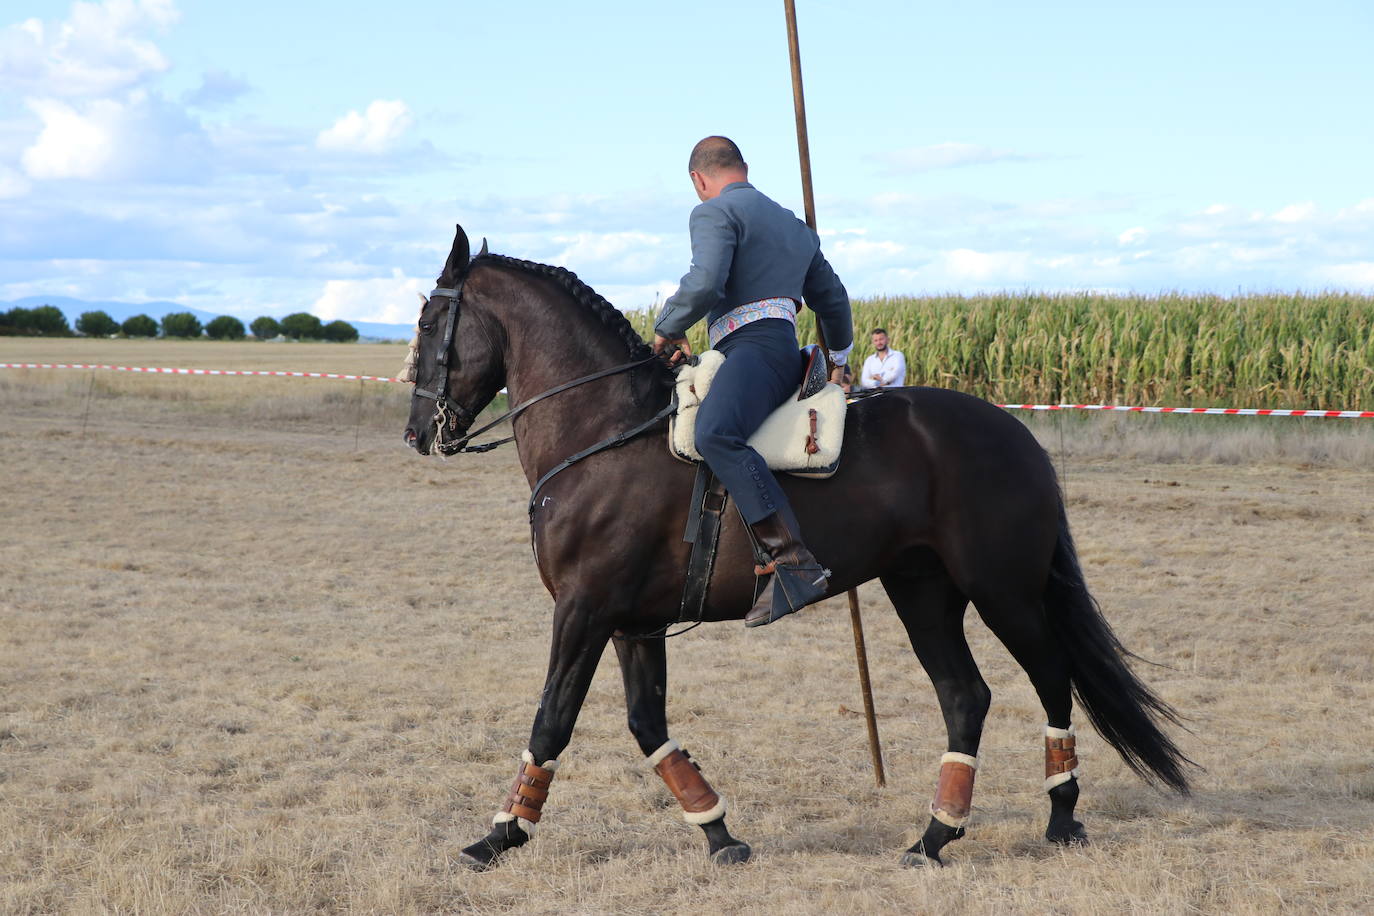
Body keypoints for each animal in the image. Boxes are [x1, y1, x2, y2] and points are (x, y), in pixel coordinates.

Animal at [401, 225, 1187, 873]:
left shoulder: (583, 610)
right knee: (966, 696)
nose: (417, 432)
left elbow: (553, 718)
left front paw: (500, 835)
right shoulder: (633, 623)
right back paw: (935, 836)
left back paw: (1060, 817)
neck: (604, 430)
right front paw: (719, 833)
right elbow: (647, 724)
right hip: (922, 590)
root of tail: (1016, 433)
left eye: (431, 321)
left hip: (1002, 590)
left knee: (1051, 676)